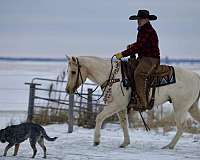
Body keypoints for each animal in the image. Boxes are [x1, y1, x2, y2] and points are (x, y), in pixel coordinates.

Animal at [65, 56, 200, 149]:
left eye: (73, 72)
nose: (67, 90)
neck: (113, 76)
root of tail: (196, 76)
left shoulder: (116, 105)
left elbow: (99, 117)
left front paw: (96, 141)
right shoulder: (121, 108)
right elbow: (124, 123)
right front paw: (125, 143)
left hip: (180, 108)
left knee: (182, 126)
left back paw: (169, 146)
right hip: (192, 107)